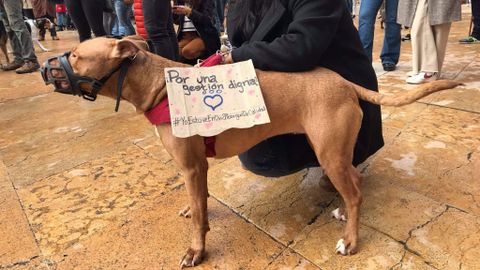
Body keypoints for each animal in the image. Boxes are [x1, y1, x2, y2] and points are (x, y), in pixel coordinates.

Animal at [45, 36, 462, 268]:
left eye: (77, 55)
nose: (45, 70)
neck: (160, 85)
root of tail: (344, 82)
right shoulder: (197, 168)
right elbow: (199, 203)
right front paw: (193, 210)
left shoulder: (191, 167)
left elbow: (200, 218)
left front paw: (196, 250)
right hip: (334, 152)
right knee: (355, 182)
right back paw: (344, 212)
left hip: (328, 151)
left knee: (356, 190)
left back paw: (351, 240)